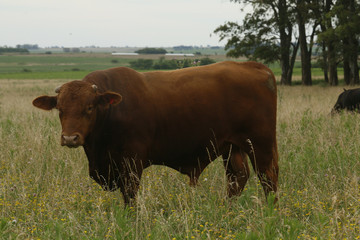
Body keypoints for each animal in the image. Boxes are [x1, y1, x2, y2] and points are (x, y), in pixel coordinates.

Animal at [32, 61, 278, 205]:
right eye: (60, 108)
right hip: (231, 146)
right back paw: (227, 209)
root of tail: (253, 65)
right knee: (238, 177)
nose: (70, 138)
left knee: (268, 177)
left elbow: (130, 196)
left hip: (260, 143)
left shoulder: (131, 163)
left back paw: (271, 211)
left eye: (89, 107)